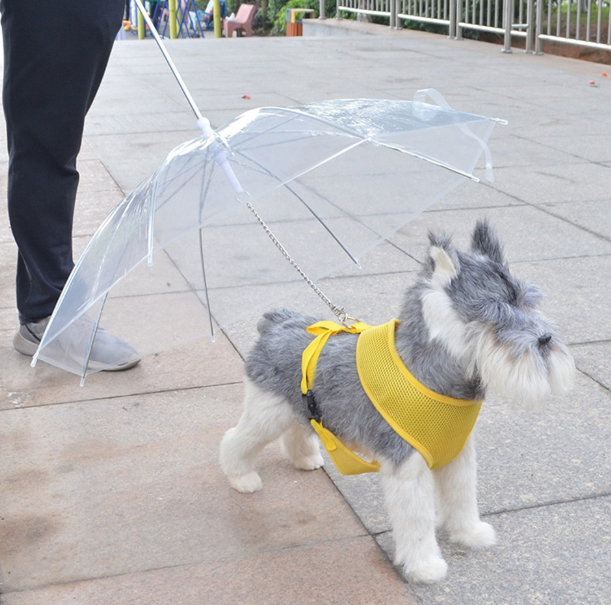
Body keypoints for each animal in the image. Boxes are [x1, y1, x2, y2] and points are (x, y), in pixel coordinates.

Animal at [219, 219, 572, 584]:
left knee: (298, 429)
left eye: (528, 302)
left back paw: (304, 458)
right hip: (267, 413)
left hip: (299, 408)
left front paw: (469, 533)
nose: (545, 340)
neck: (430, 373)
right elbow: (416, 521)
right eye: (494, 312)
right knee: (236, 439)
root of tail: (276, 322)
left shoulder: (458, 455)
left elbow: (462, 499)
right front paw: (425, 565)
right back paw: (241, 478)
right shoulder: (408, 468)